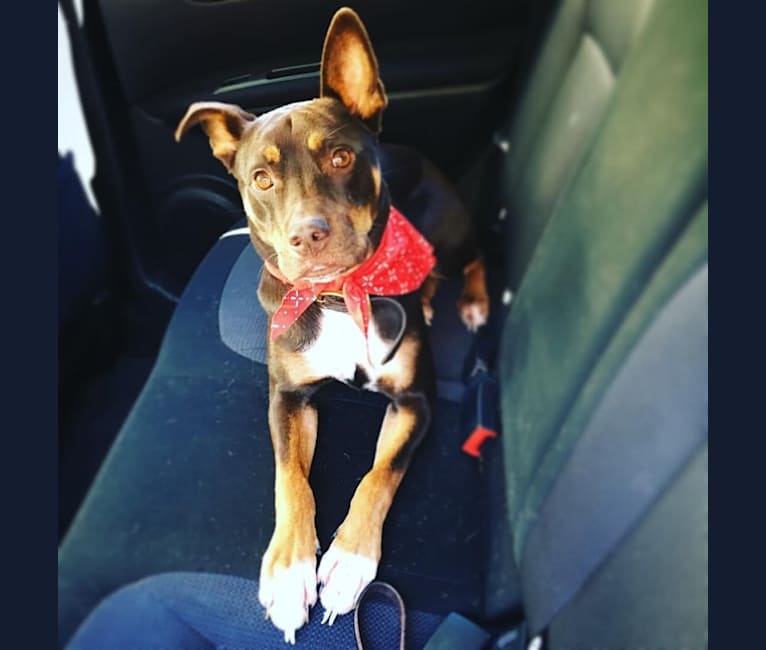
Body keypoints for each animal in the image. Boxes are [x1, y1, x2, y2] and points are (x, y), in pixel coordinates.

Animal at [175, 7, 489, 643]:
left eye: (341, 158)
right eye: (261, 179)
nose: (307, 235)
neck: (343, 296)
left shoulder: (416, 402)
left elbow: (380, 474)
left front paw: (348, 563)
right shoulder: (288, 397)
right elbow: (290, 479)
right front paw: (289, 570)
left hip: (449, 230)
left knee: (474, 257)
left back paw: (468, 299)